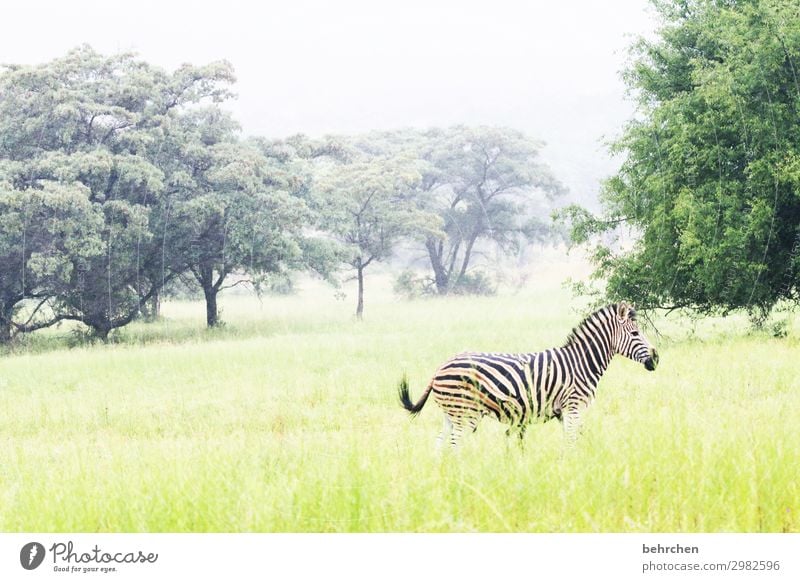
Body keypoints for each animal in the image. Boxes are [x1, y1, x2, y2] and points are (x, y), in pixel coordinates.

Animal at [396, 304, 660, 450]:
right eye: (635, 334)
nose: (655, 359)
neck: (581, 363)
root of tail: (440, 367)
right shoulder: (573, 406)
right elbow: (572, 441)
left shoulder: (564, 412)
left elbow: (574, 440)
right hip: (465, 413)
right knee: (454, 446)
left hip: (452, 414)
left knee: (439, 445)